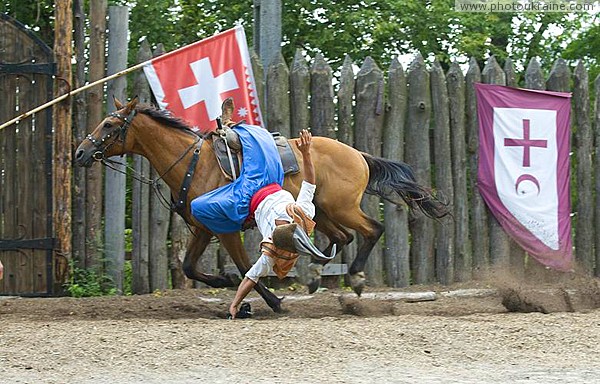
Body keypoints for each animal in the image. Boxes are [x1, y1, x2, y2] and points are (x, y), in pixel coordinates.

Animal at [75, 97, 448, 312]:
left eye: (109, 124)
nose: (80, 152)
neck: (195, 163)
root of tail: (358, 154)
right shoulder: (203, 229)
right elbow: (190, 267)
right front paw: (225, 283)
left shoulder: (225, 229)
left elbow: (243, 267)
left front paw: (271, 300)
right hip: (322, 210)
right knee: (342, 237)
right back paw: (315, 275)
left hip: (342, 208)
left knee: (372, 229)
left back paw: (354, 277)